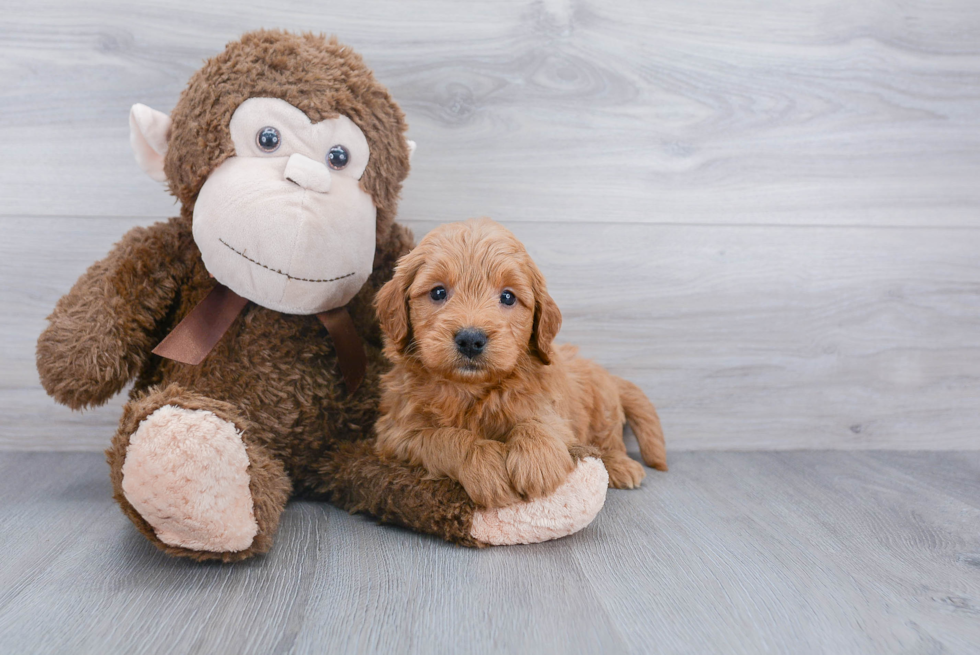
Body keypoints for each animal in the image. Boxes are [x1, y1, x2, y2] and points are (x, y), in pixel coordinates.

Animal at [376, 219, 668, 508]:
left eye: (507, 297)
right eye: (438, 292)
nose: (470, 339)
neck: (471, 389)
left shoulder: (552, 409)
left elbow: (537, 421)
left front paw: (537, 462)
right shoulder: (397, 433)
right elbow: (443, 438)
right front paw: (484, 465)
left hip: (604, 407)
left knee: (608, 440)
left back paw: (620, 464)